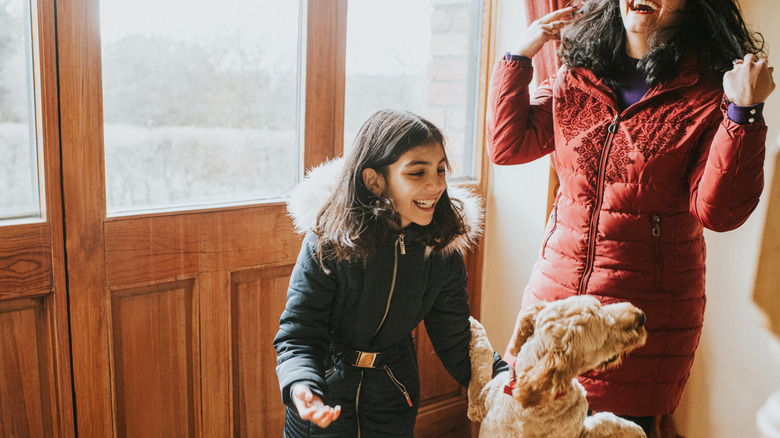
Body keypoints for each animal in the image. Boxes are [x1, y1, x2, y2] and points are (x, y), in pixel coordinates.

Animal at [470, 294, 644, 438]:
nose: (641, 317)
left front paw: (472, 322)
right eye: (606, 335)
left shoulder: (478, 403)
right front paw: (636, 430)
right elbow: (606, 421)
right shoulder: (579, 431)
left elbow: (481, 358)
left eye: (599, 304)